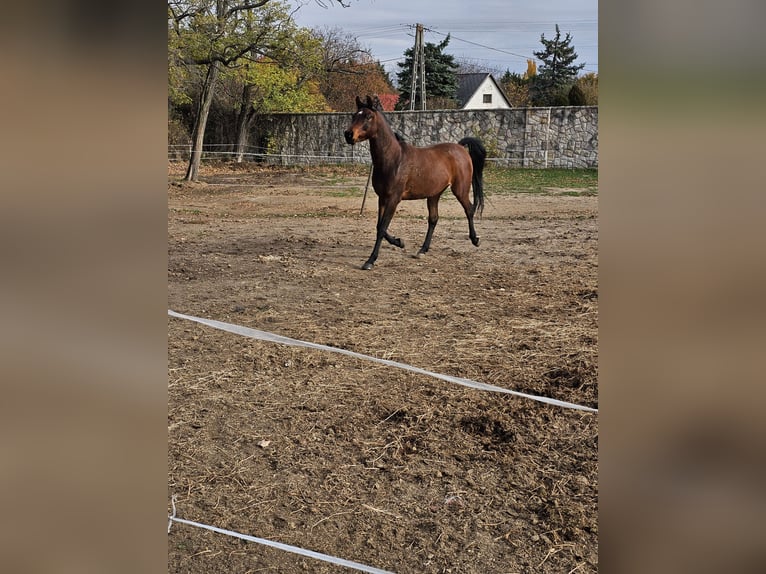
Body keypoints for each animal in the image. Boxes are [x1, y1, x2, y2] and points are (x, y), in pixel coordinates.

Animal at [344, 95, 486, 270]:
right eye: (354, 116)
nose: (348, 134)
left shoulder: (393, 199)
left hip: (460, 189)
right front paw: (399, 242)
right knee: (433, 219)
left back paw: (475, 240)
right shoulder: (382, 198)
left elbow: (382, 227)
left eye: (368, 116)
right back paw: (422, 250)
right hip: (434, 194)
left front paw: (370, 260)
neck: (393, 159)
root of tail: (460, 148)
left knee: (469, 209)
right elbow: (379, 227)